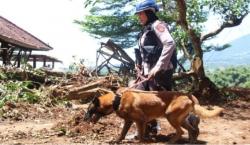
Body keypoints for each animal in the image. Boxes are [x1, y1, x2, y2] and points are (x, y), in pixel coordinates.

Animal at [84, 89, 223, 143]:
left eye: (89, 110)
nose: (84, 119)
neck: (117, 100)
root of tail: (188, 96)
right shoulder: (130, 121)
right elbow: (123, 133)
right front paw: (117, 141)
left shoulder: (141, 120)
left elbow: (140, 135)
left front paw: (141, 141)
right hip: (181, 120)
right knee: (192, 130)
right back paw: (191, 142)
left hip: (171, 116)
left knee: (181, 132)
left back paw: (170, 142)